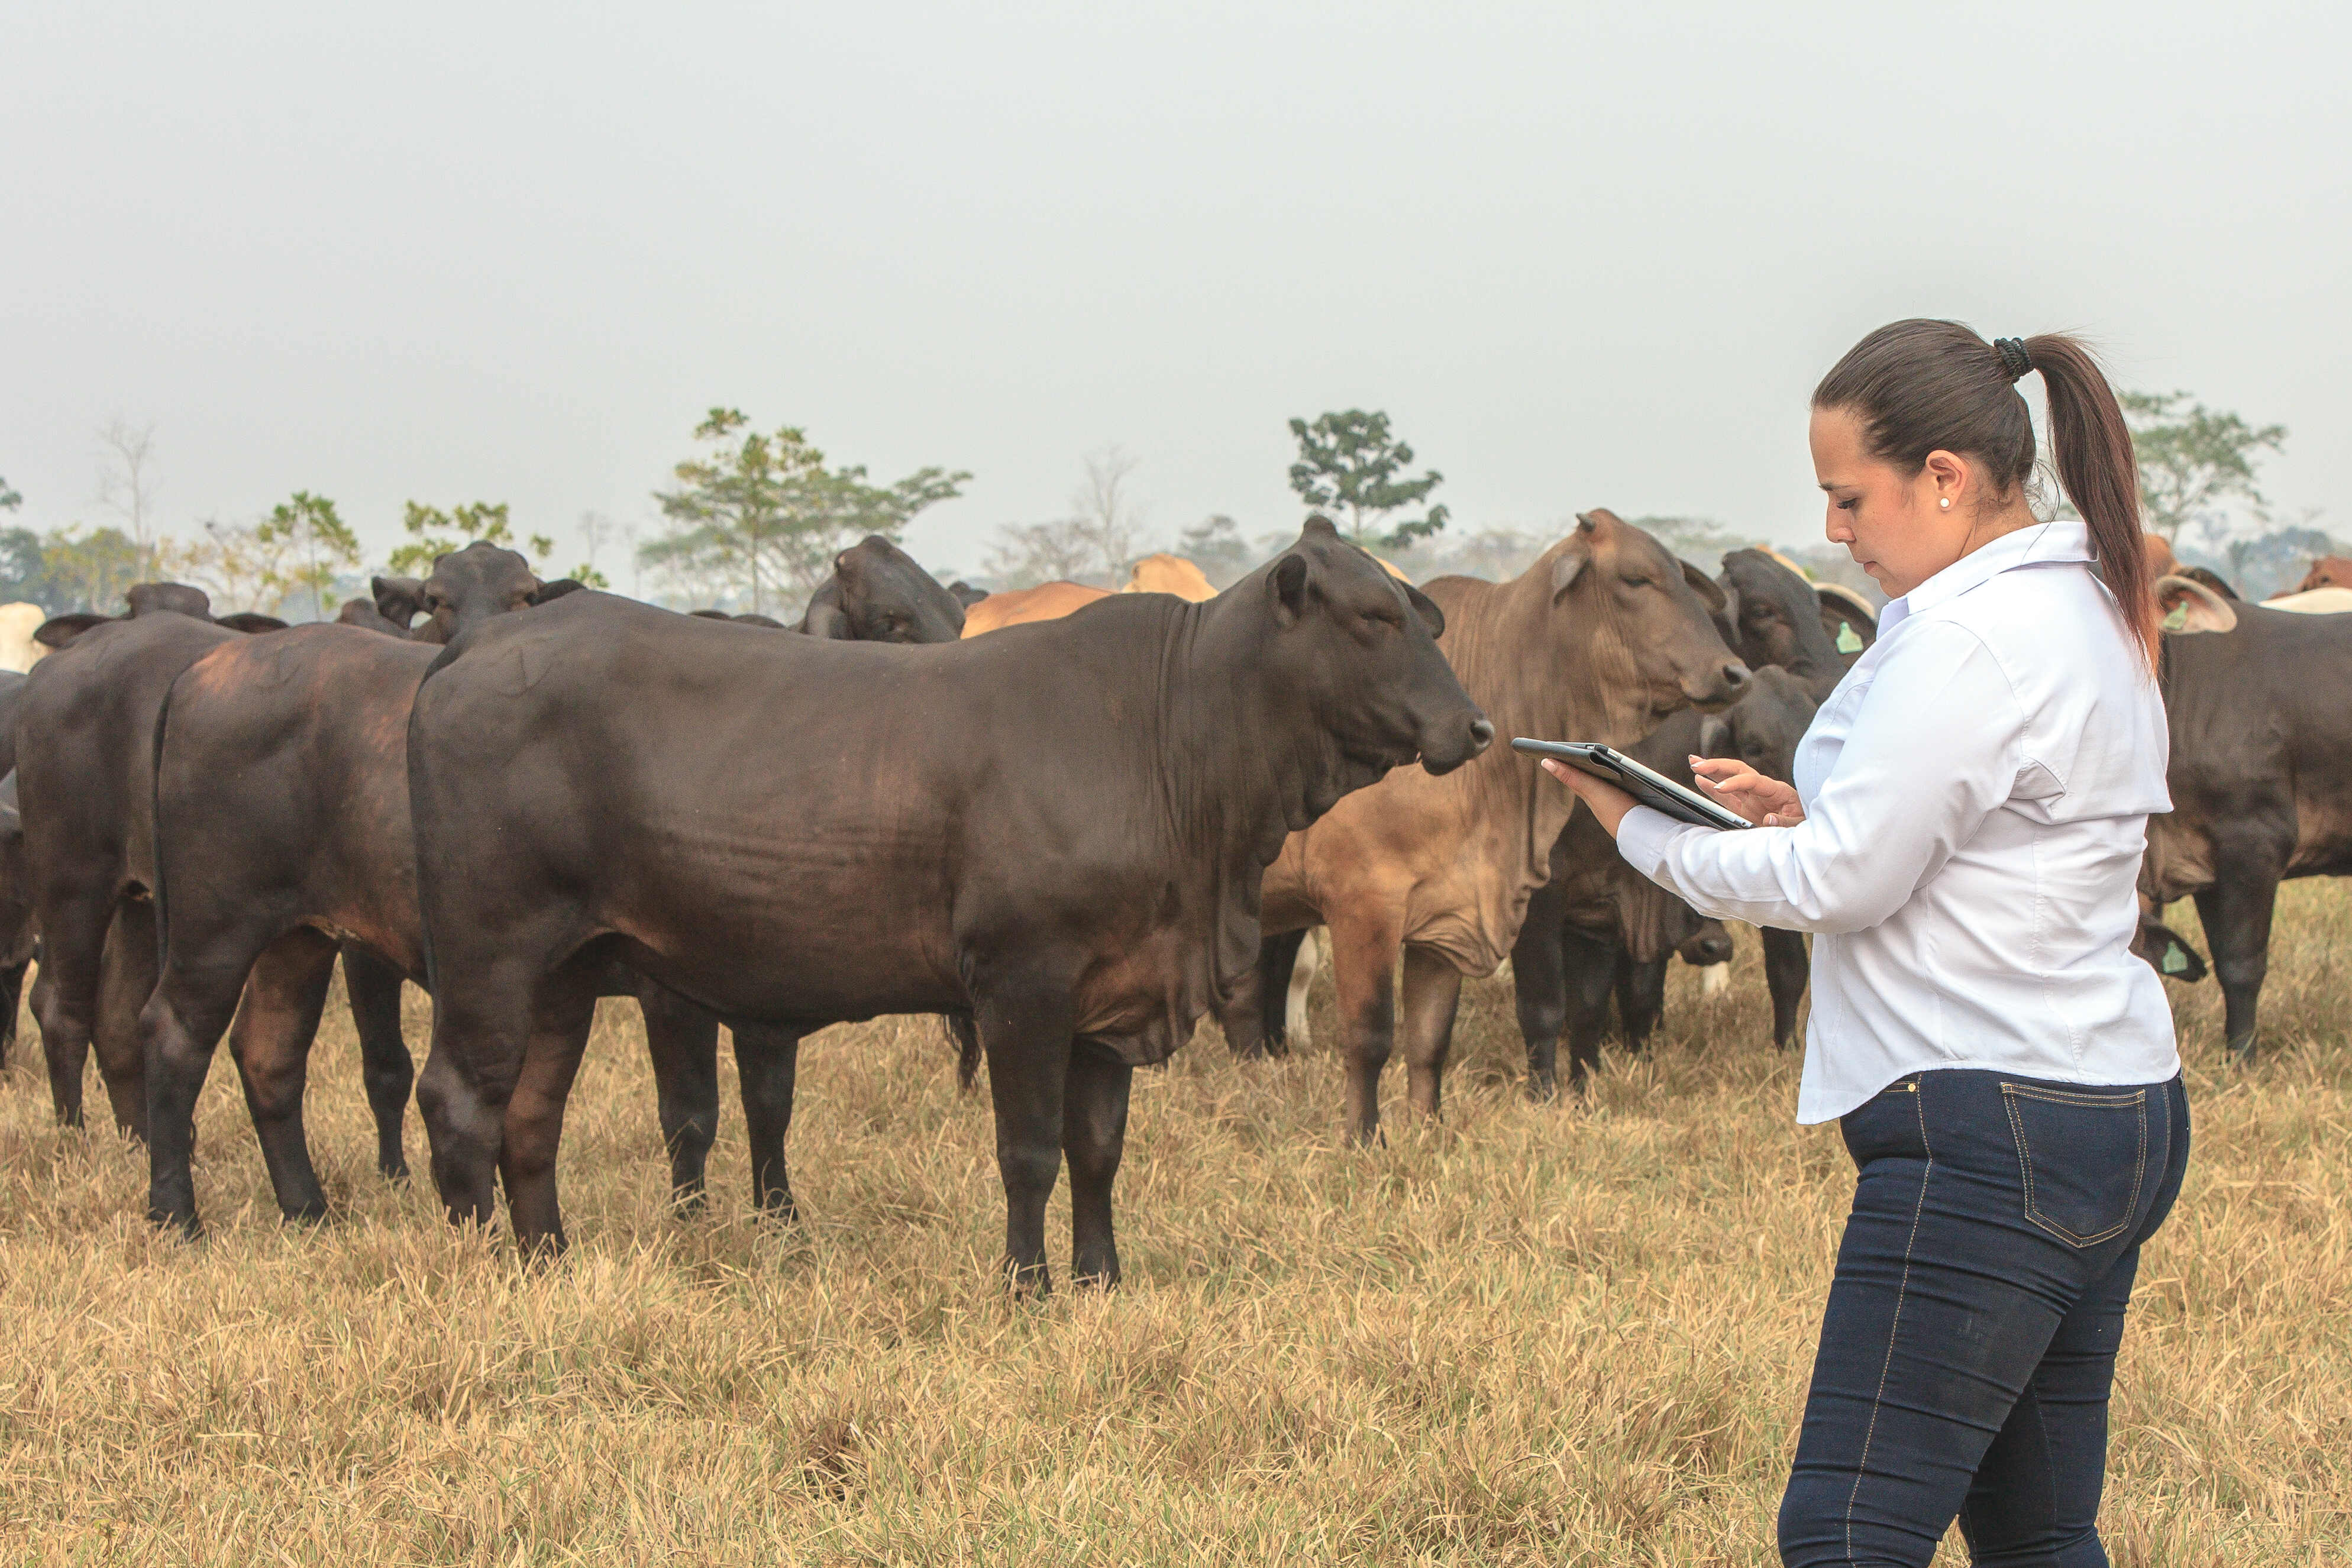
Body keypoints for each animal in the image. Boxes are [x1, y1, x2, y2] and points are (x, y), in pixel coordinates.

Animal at [395, 522, 1477, 1279]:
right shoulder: (1022, 981)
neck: (1170, 734)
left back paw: (546, 1262)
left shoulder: (1114, 990)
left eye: (1427, 617)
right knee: (458, 1100)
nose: (1474, 723)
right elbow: (1030, 1149)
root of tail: (478, 649)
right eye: (1375, 619)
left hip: (562, 972)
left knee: (530, 1112)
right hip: (491, 955)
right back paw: (479, 1271)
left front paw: (1102, 1277)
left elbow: (1098, 1148)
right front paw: (1027, 1284)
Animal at [1251, 512, 1750, 1142]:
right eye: (1636, 578)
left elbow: (1431, 1040)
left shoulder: (1456, 916)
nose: (1735, 672)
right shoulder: (1364, 905)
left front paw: (1430, 1131)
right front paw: (1365, 1141)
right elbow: (1372, 1036)